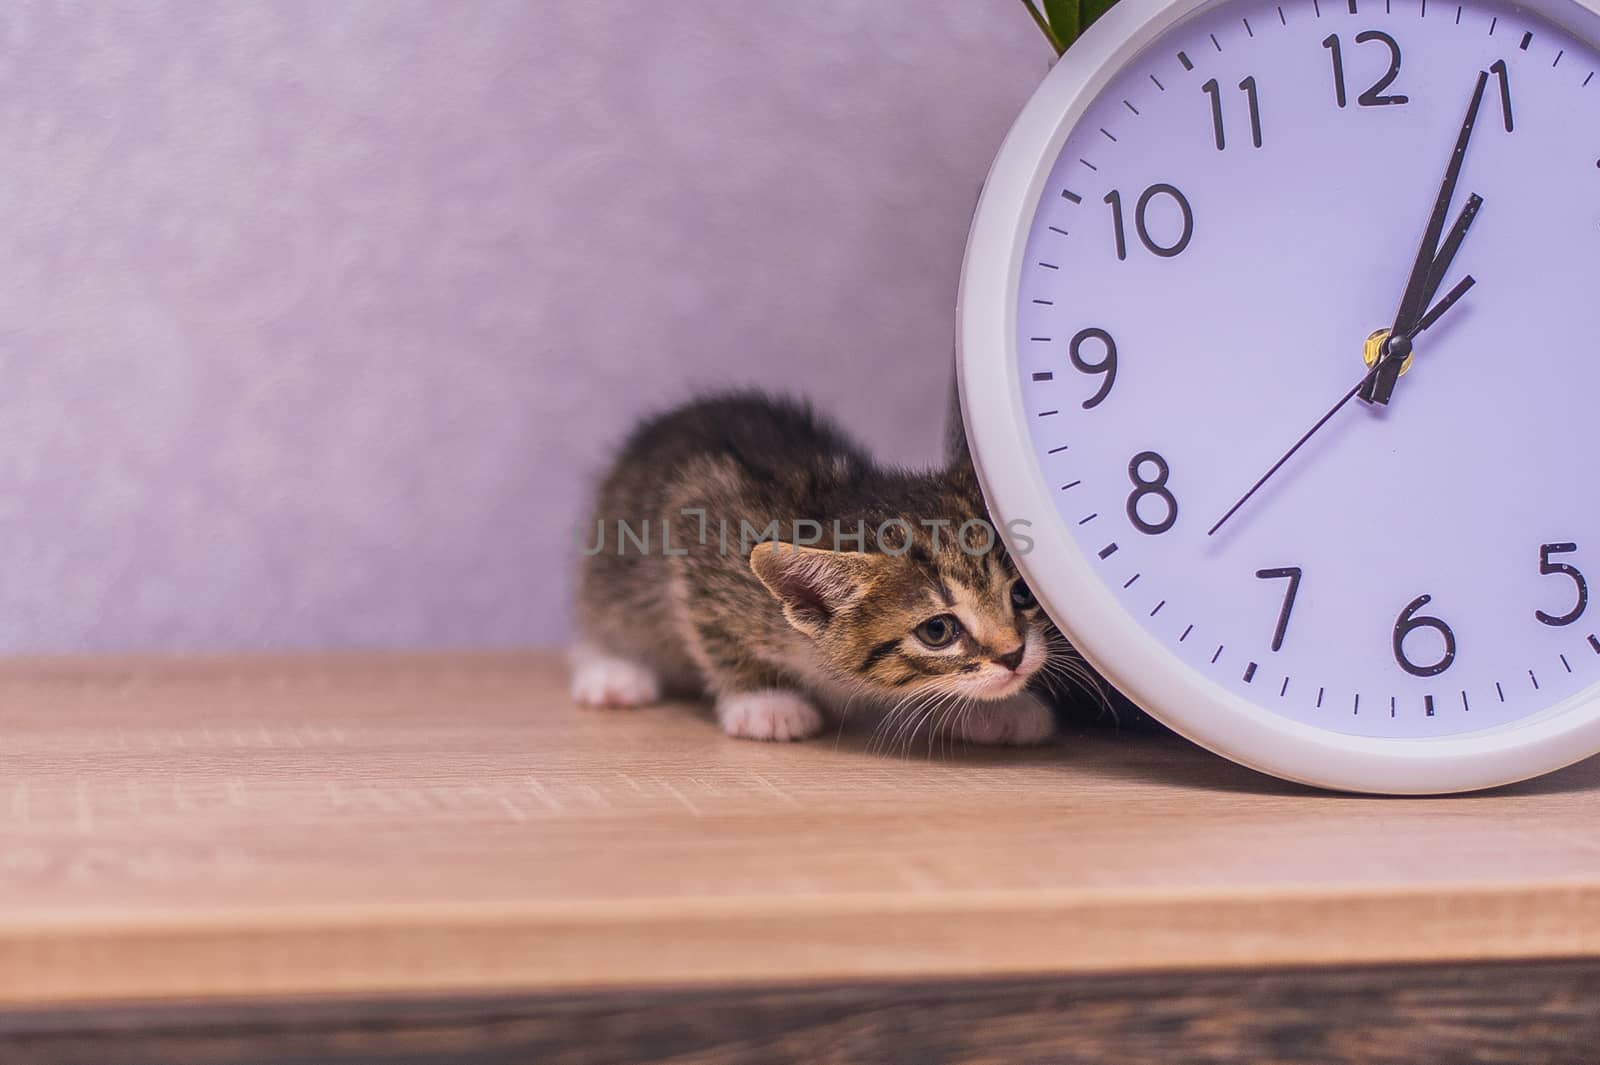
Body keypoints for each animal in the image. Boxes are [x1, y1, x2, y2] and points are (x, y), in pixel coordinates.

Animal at [576, 390, 1075, 745]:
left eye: (1021, 594)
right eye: (938, 631)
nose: (1014, 656)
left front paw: (996, 711)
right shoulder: (701, 527)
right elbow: (712, 628)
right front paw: (765, 702)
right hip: (612, 568)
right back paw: (612, 674)